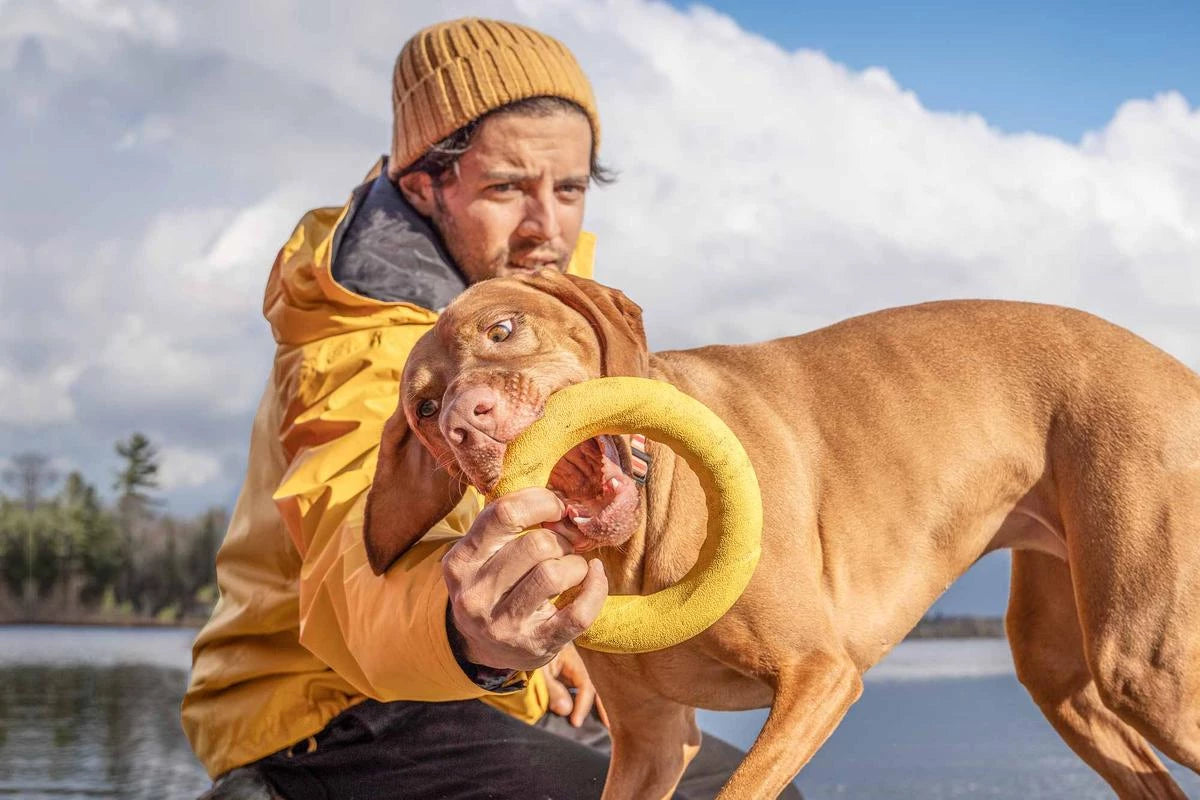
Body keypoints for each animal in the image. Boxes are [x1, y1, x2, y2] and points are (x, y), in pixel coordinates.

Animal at [362, 272, 1200, 796]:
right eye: (424, 409)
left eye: (503, 328)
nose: (465, 420)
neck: (641, 542)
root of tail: (1176, 367)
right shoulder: (650, 745)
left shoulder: (818, 674)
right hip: (1059, 673)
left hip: (1144, 665)